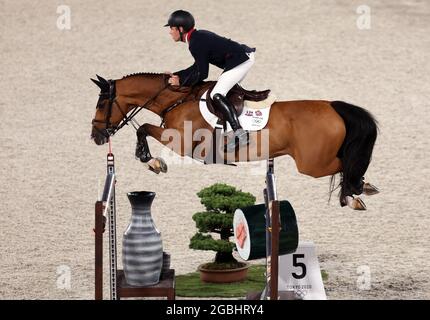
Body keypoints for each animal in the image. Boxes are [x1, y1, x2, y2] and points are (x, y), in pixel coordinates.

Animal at [90, 72, 380, 210]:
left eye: (102, 104)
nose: (96, 136)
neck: (177, 99)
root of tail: (333, 106)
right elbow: (145, 129)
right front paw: (151, 161)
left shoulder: (181, 142)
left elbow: (144, 129)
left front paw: (152, 162)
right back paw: (362, 189)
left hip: (311, 164)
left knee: (346, 165)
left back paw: (354, 193)